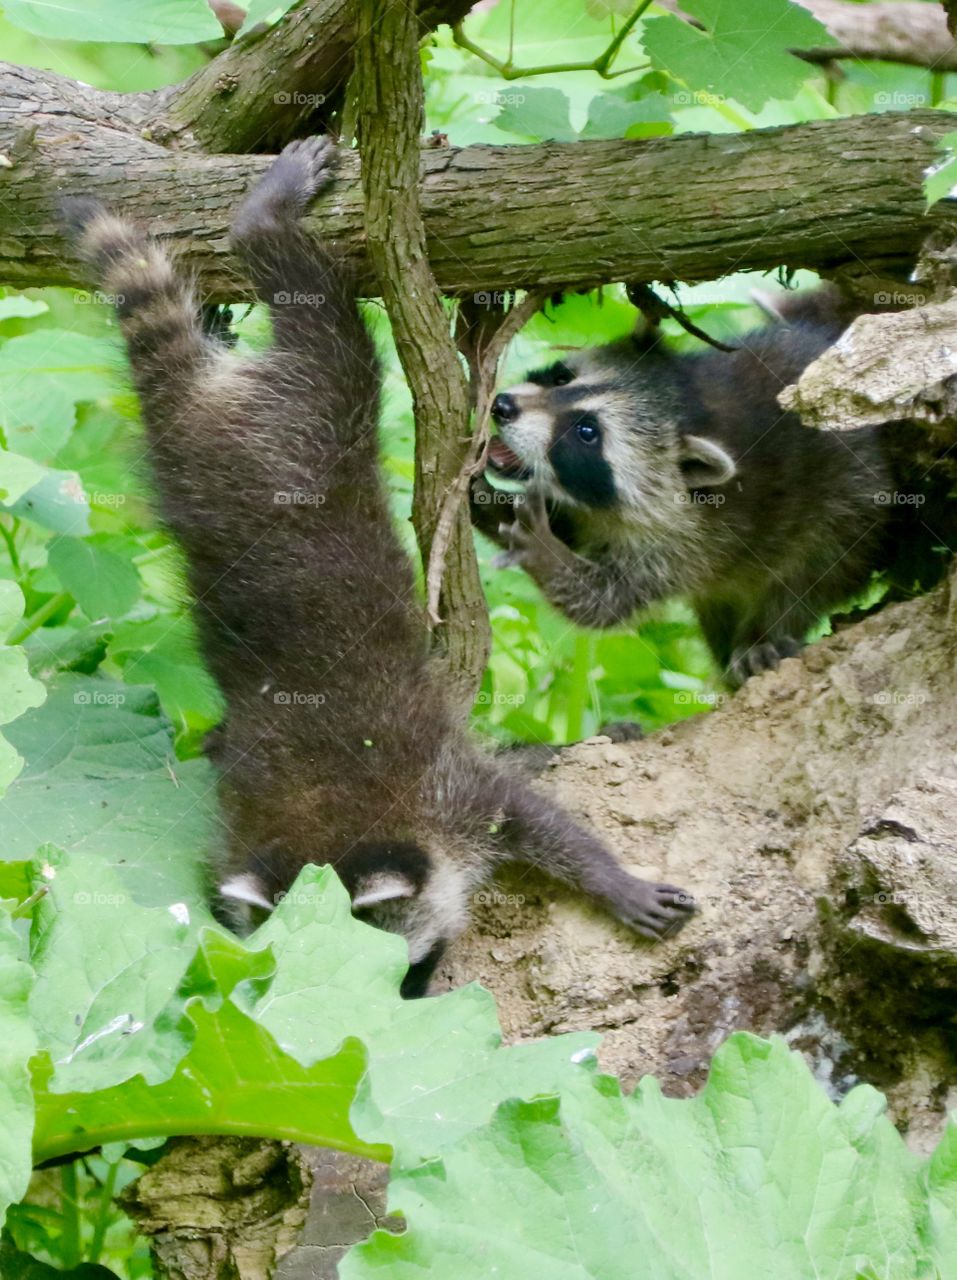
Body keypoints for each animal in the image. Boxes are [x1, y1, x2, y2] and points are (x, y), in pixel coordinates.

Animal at [65, 140, 696, 998]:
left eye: (406, 971)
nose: (418, 1002)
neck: (328, 814)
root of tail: (192, 413)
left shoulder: (447, 790)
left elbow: (533, 814)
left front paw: (608, 876)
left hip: (318, 404)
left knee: (329, 324)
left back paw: (261, 224)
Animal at [475, 293, 951, 691]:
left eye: (586, 432)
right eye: (560, 376)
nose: (502, 406)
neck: (696, 402)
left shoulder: (681, 539)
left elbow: (601, 601)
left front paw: (543, 550)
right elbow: (569, 528)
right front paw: (491, 505)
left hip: (852, 512)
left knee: (808, 578)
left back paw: (763, 637)